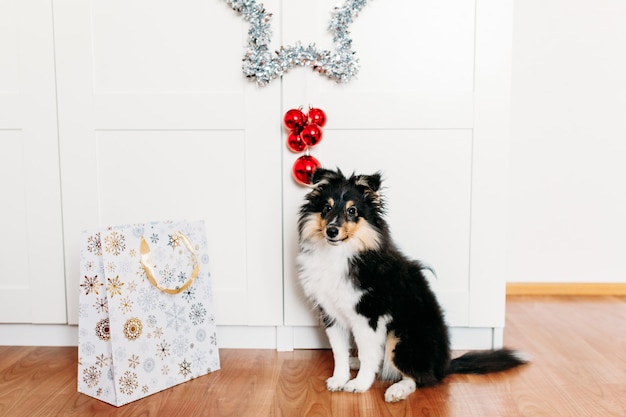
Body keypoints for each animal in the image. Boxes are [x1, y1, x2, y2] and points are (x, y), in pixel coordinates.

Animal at [294, 167, 524, 402]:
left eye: (352, 210)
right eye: (326, 208)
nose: (331, 231)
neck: (340, 253)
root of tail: (444, 366)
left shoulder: (370, 316)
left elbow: (368, 354)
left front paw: (359, 384)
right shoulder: (330, 312)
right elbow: (339, 351)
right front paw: (339, 379)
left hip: (402, 335)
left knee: (418, 377)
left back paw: (397, 390)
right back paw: (355, 362)